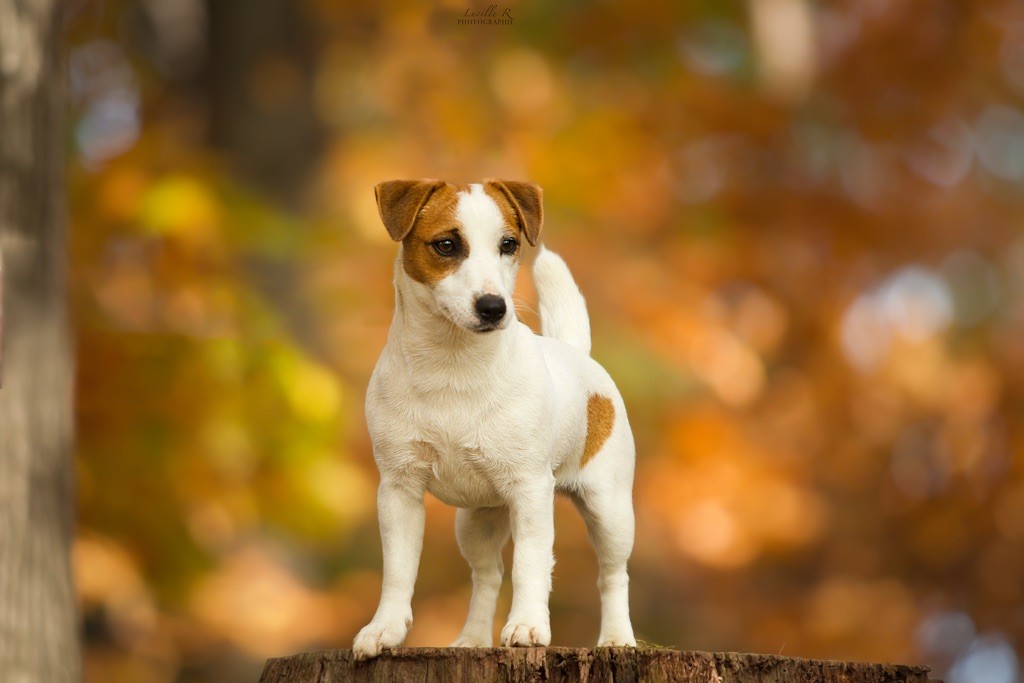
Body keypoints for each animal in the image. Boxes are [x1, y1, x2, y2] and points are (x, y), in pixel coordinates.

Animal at [356, 179, 634, 659]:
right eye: (446, 245)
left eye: (509, 244)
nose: (493, 307)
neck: (452, 366)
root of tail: (576, 353)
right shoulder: (398, 489)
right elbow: (398, 569)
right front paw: (384, 629)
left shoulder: (531, 491)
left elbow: (530, 564)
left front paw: (527, 626)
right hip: (477, 520)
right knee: (487, 577)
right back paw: (471, 639)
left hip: (610, 508)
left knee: (613, 575)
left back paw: (617, 638)